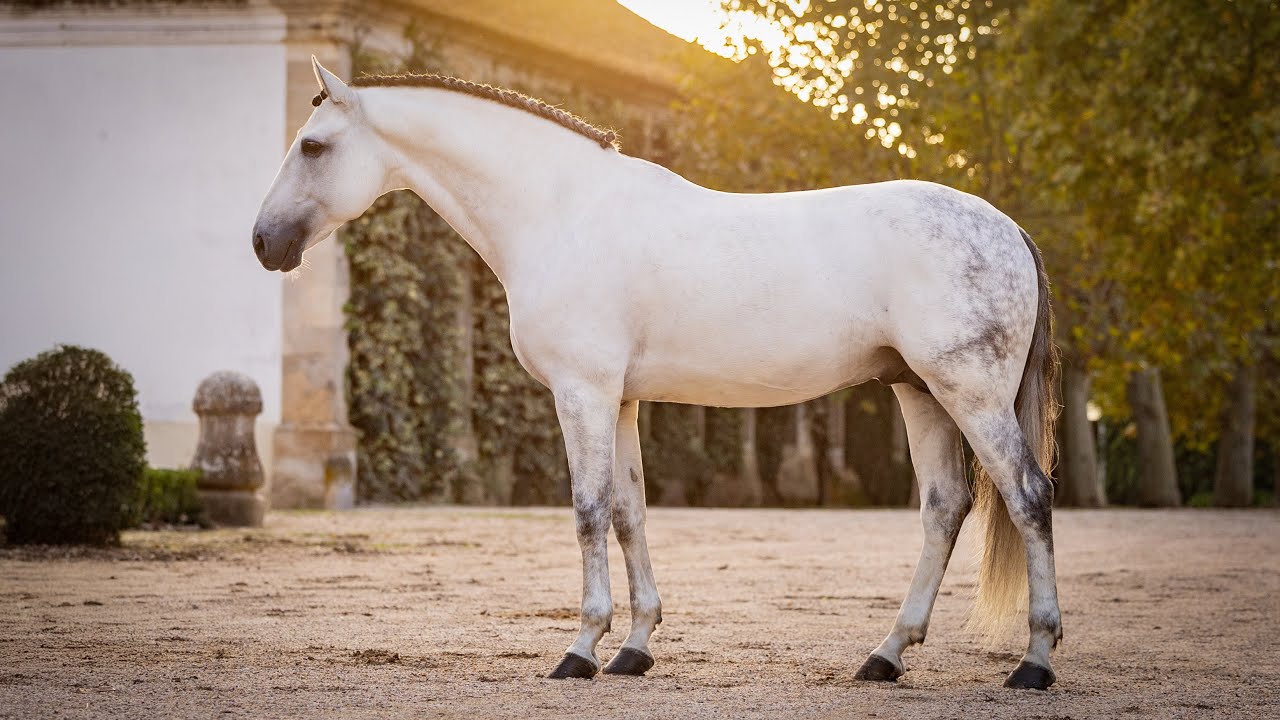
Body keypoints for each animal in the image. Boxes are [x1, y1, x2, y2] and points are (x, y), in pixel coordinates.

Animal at [252, 58, 1063, 690]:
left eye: (314, 146)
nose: (264, 244)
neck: (562, 213)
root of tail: (1009, 227)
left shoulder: (582, 392)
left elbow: (586, 511)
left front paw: (580, 649)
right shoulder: (620, 401)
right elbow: (627, 512)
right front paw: (634, 649)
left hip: (969, 393)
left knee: (1028, 496)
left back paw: (1034, 662)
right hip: (919, 391)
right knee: (944, 508)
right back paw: (886, 655)